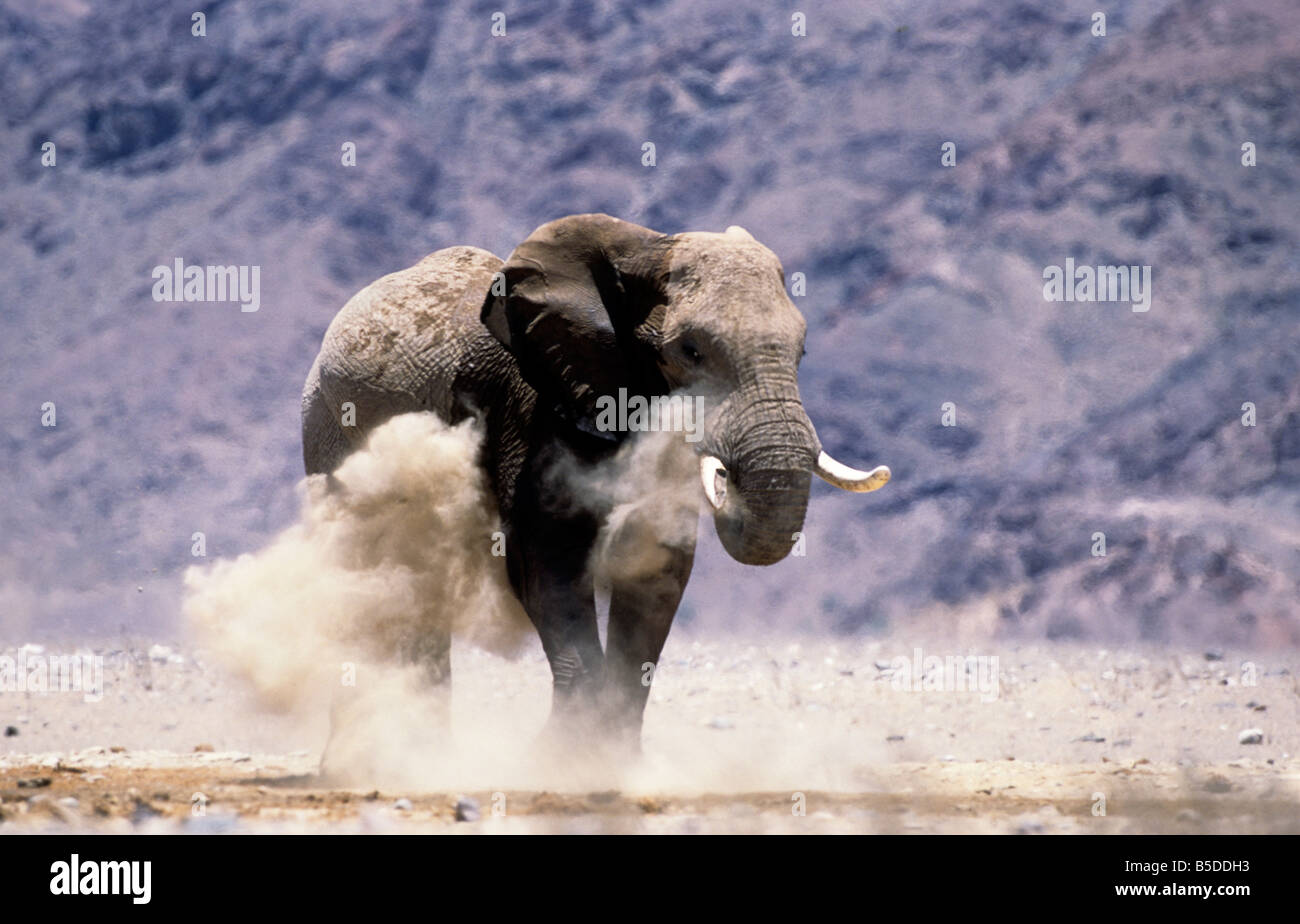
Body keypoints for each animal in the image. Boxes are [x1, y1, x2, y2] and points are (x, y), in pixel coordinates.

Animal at [301, 213, 890, 756]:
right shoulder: (533, 407)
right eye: (690, 351)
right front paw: (560, 760)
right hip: (326, 428)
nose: (726, 479)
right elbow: (546, 566)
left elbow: (658, 571)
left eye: (803, 351)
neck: (643, 251)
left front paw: (615, 764)